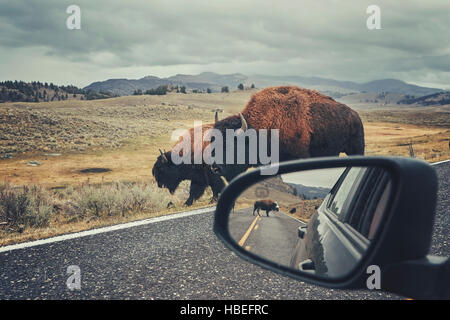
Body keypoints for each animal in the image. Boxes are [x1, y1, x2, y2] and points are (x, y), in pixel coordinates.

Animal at [153, 85, 364, 205]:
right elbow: (200, 188)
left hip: (356, 148)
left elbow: (205, 188)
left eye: (231, 145)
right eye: (213, 142)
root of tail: (354, 114)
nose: (216, 167)